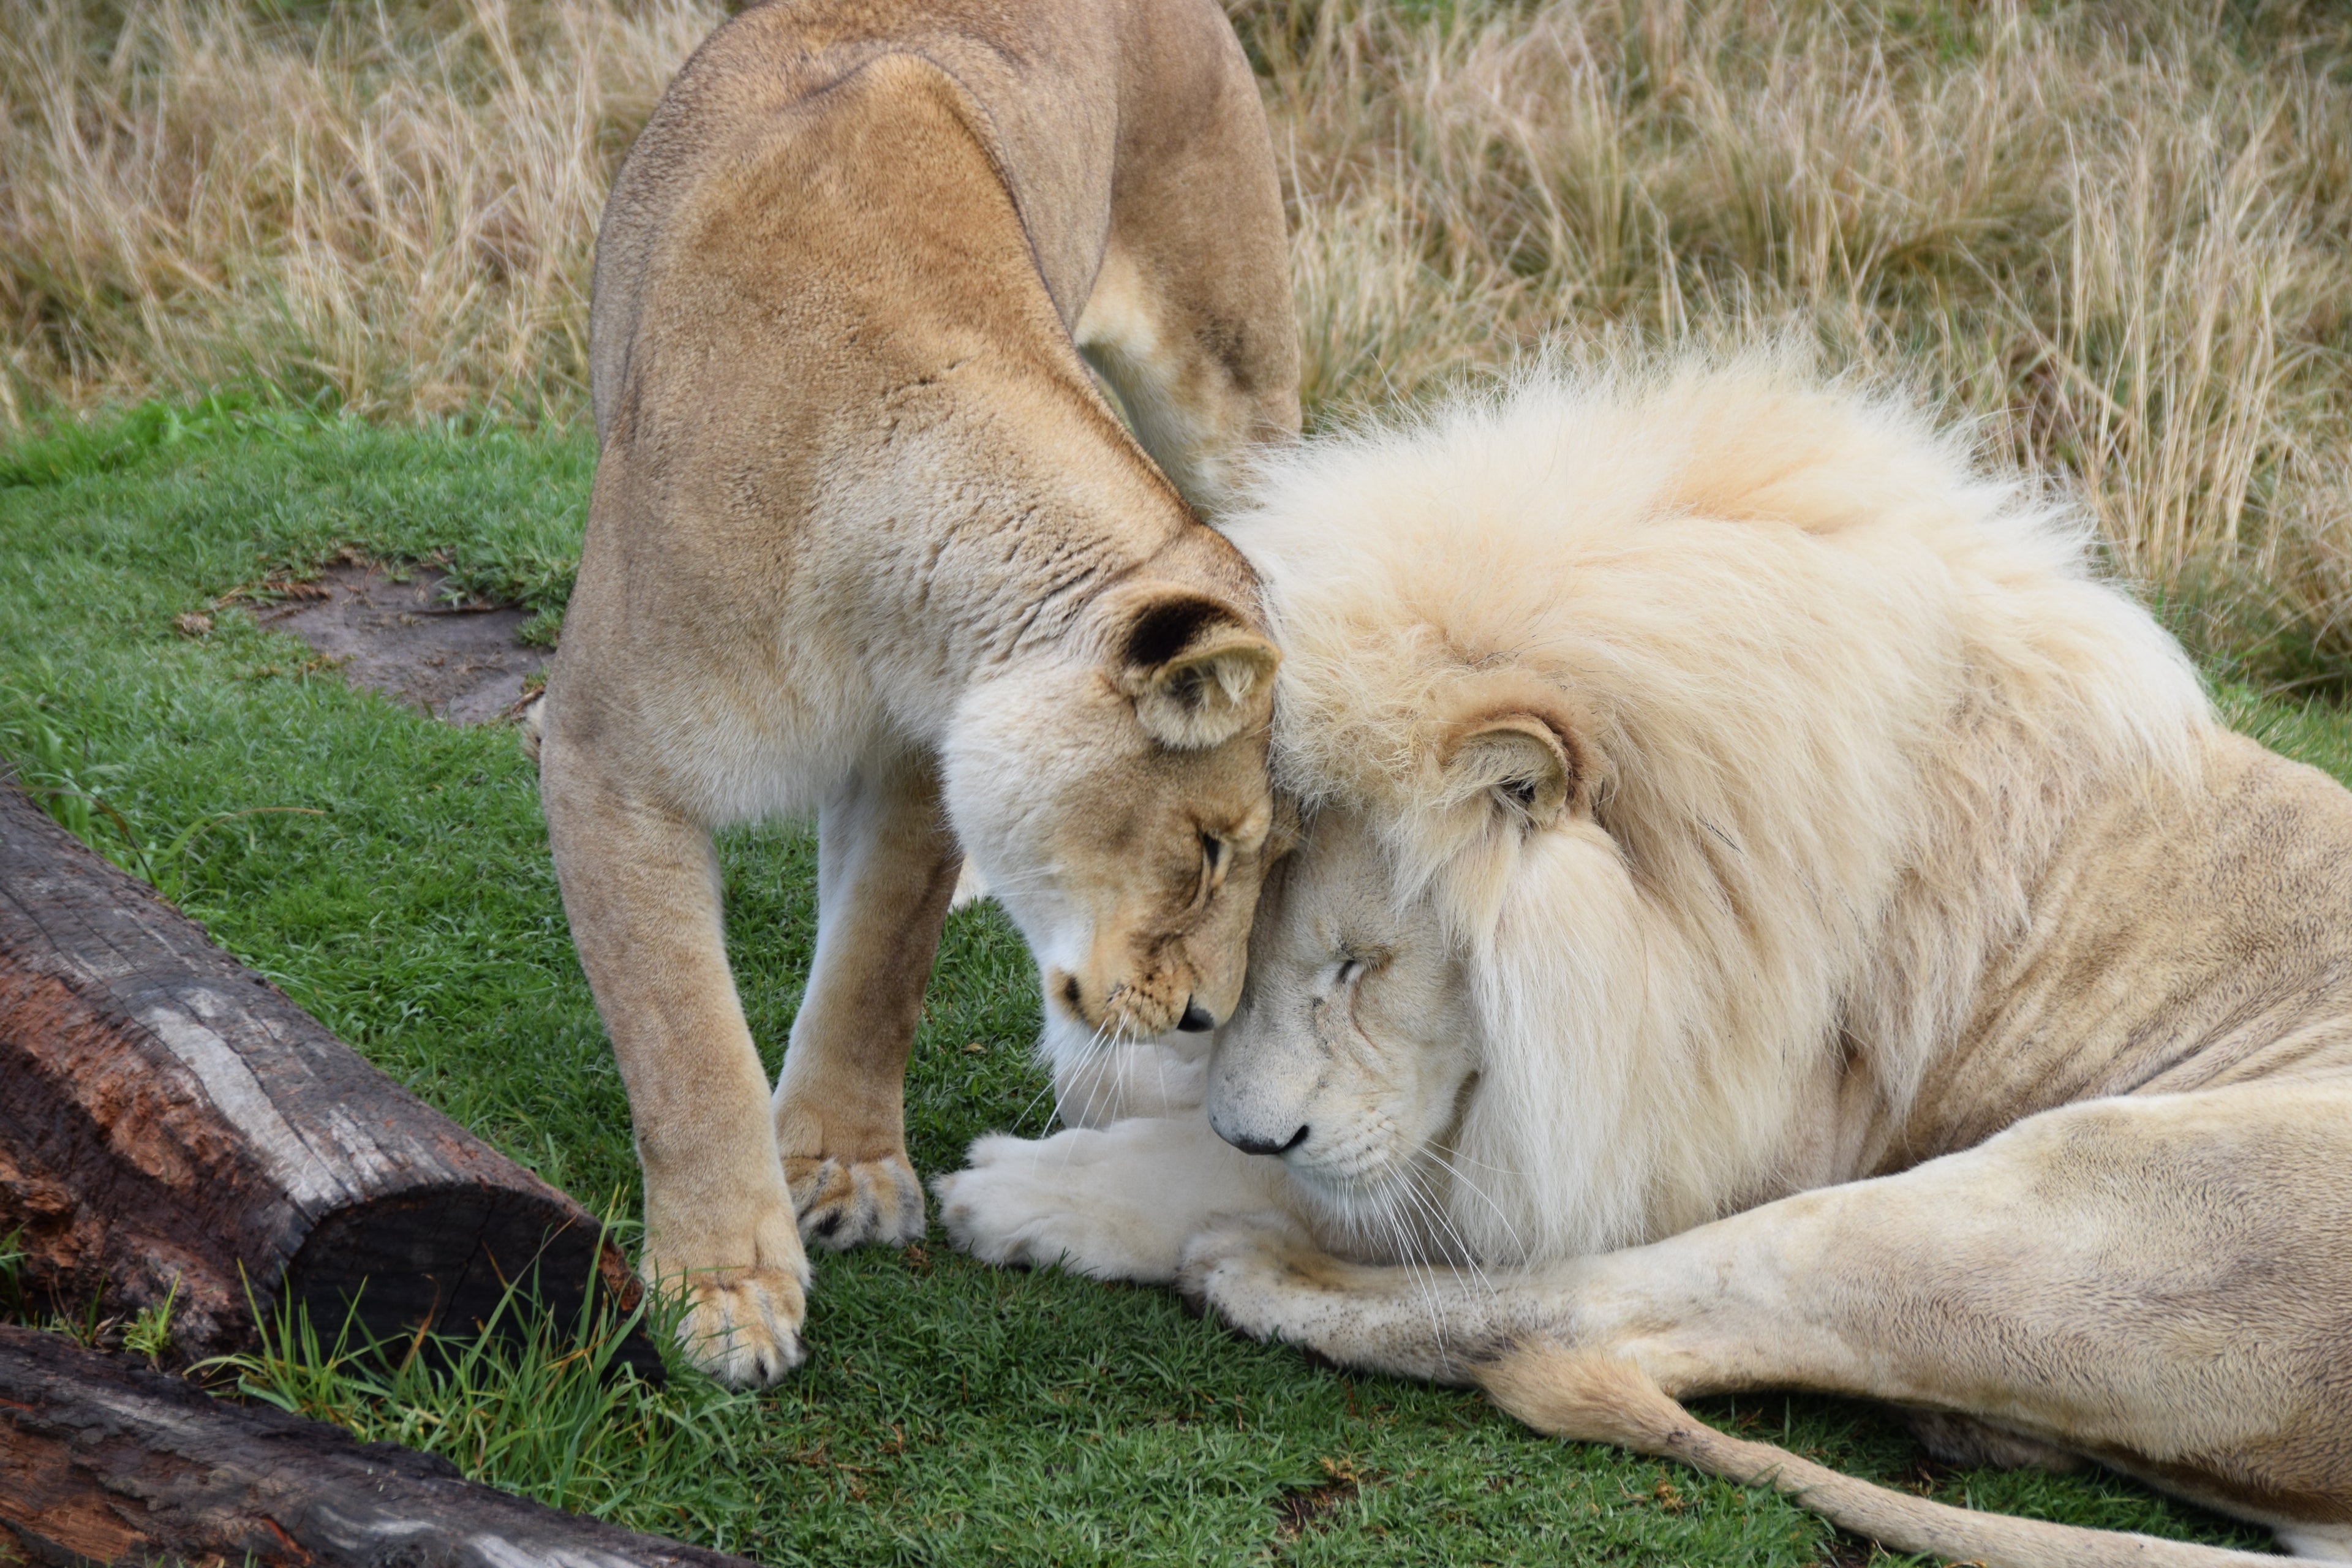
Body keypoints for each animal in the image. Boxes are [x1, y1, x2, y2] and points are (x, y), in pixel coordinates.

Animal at [534, 0, 1298, 1385]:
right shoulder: (611, 762)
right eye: (1212, 850)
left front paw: (843, 1169)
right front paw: (728, 1288)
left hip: (1235, 378)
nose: (1208, 1013)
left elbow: (876, 962)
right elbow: (686, 1043)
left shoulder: (911, 762)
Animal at [936, 356, 2352, 1562]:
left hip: (2062, 1206)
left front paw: (1043, 1189)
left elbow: (1359, 1183)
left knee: (1587, 1314)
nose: (1252, 1131)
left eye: (1361, 966)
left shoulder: (1673, 1129)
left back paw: (1234, 1261)